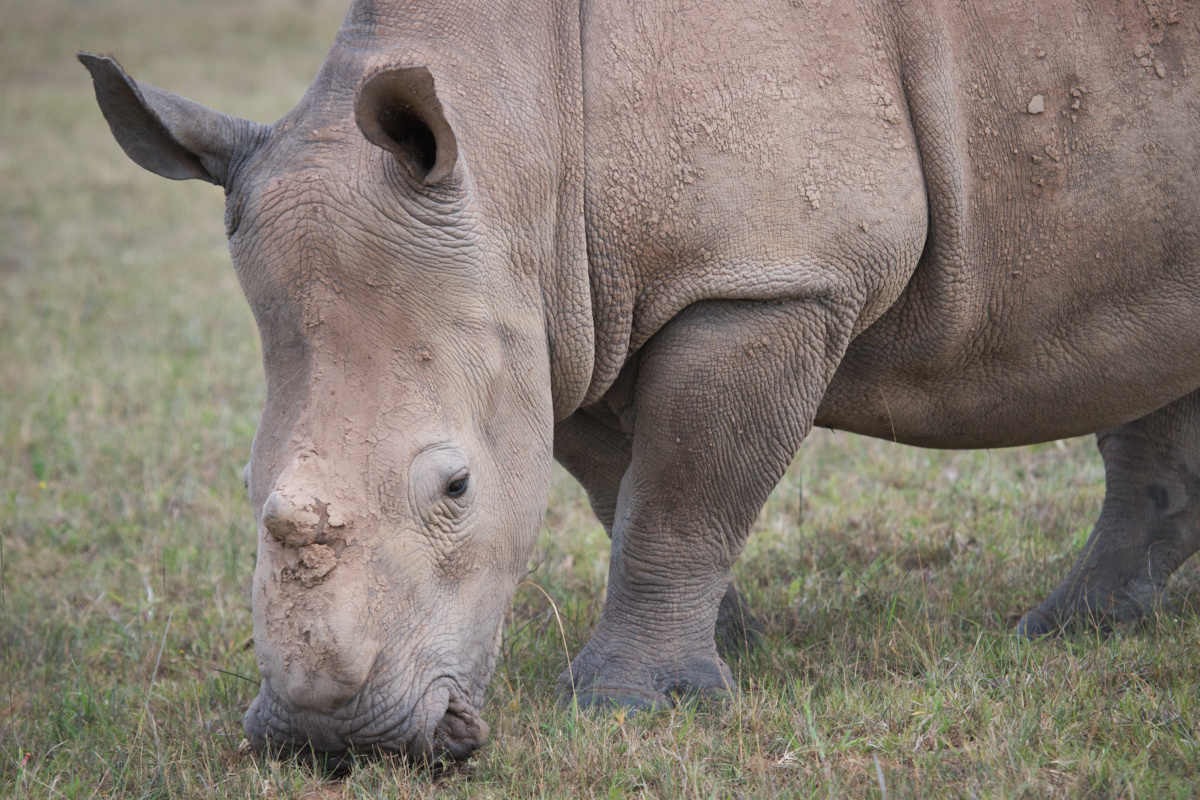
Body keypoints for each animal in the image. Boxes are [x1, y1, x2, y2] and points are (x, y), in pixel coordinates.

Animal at [79, 0, 1195, 762]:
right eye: (244, 483)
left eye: (455, 487)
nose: (331, 738)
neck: (516, 144)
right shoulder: (560, 316)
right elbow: (624, 488)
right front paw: (729, 641)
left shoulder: (769, 279)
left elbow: (679, 496)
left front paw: (628, 702)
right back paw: (1080, 628)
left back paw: (1061, 628)